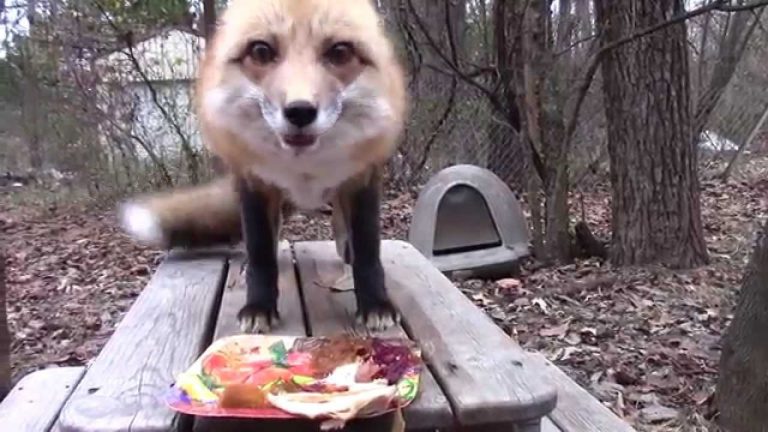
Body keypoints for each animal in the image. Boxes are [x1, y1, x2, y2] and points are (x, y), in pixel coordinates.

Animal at [118, 0, 407, 334]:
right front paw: (259, 306)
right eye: (261, 51)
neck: (304, 168)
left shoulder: (362, 177)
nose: (299, 111)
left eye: (339, 52)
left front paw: (375, 303)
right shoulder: (255, 183)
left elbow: (368, 250)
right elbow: (260, 254)